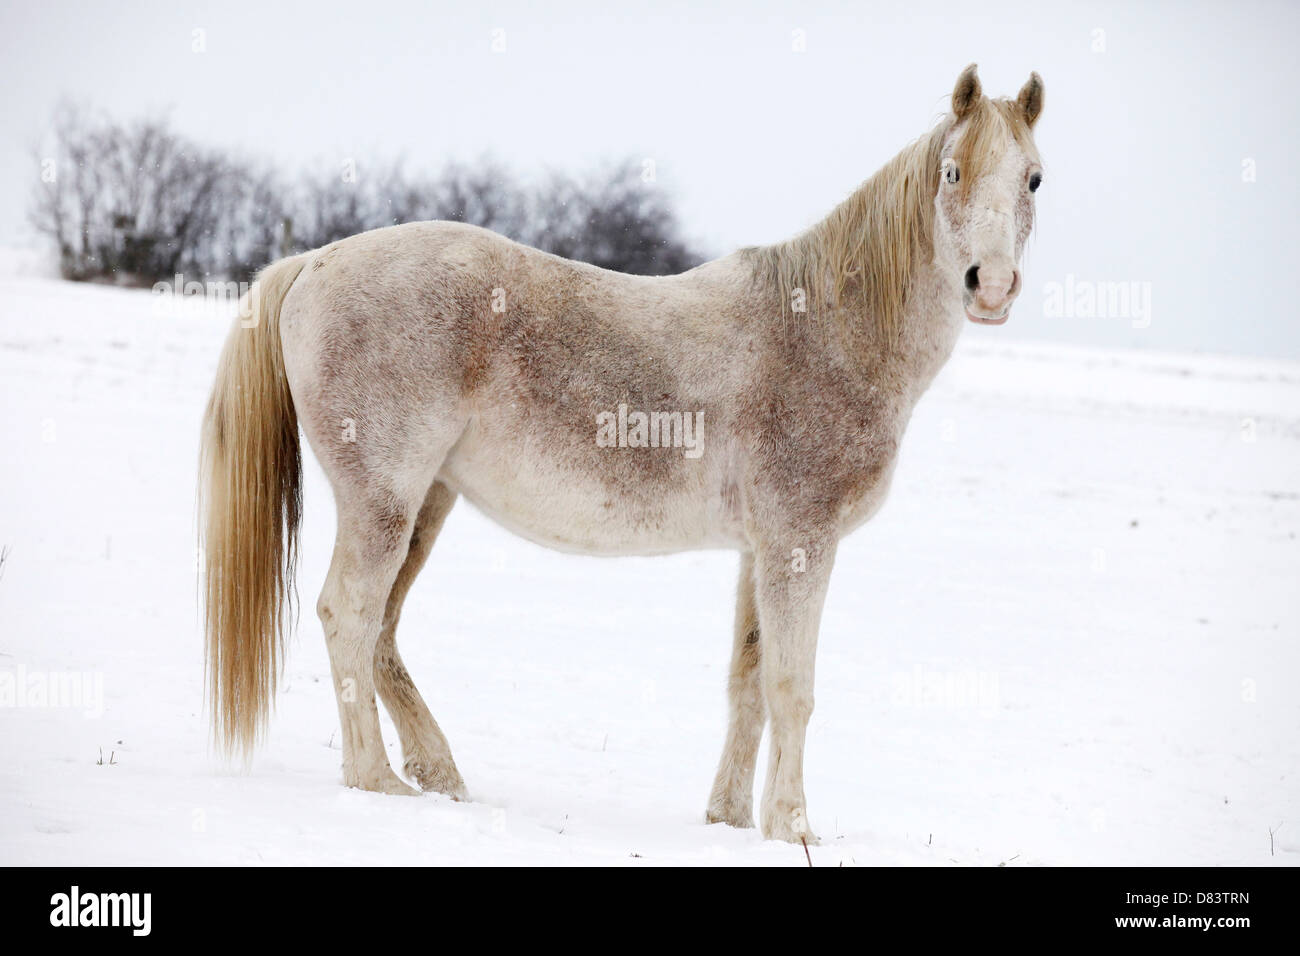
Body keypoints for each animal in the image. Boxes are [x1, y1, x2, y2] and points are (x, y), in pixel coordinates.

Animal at [200, 63, 1045, 842]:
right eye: (951, 172)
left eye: (1033, 176)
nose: (991, 285)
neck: (827, 334)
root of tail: (315, 261)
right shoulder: (800, 543)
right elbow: (791, 686)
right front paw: (793, 826)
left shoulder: (760, 549)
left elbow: (747, 681)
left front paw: (730, 819)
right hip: (384, 501)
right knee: (349, 615)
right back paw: (377, 782)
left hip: (424, 505)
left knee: (382, 632)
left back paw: (437, 773)